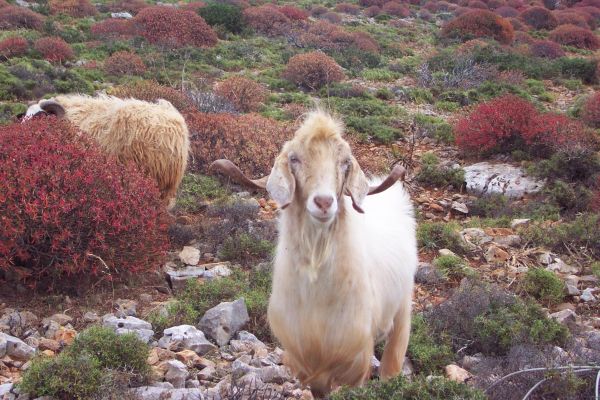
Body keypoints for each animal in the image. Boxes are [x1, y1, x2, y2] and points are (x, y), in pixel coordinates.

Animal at [211, 110, 417, 397]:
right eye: (295, 159)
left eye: (344, 163)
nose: (324, 202)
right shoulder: (307, 360)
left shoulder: (354, 360)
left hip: (402, 308)